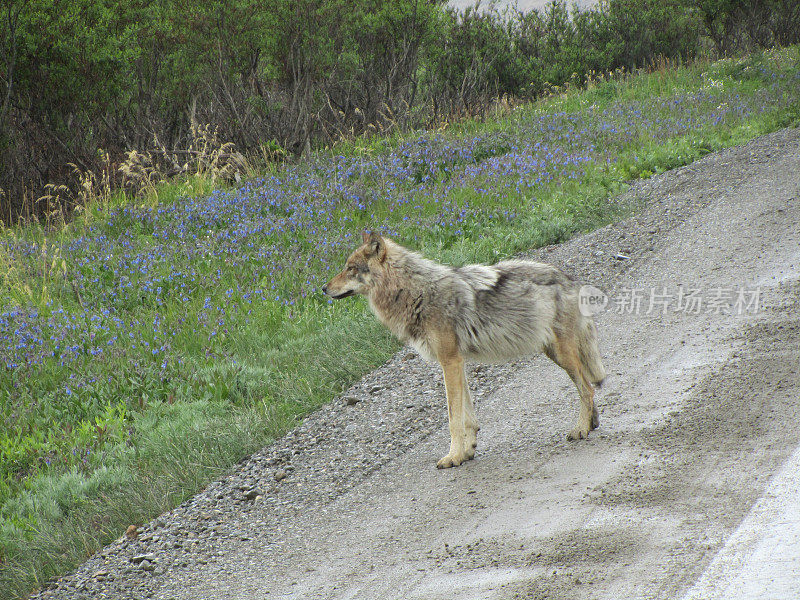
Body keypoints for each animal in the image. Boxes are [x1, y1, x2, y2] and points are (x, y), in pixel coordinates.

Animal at [322, 231, 604, 468]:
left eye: (350, 268)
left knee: (587, 388)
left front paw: (453, 456)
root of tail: (568, 278)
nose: (323, 288)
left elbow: (453, 418)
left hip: (562, 355)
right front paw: (467, 451)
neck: (415, 293)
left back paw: (580, 429)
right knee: (588, 387)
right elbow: (468, 417)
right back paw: (591, 423)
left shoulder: (450, 362)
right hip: (555, 353)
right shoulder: (457, 362)